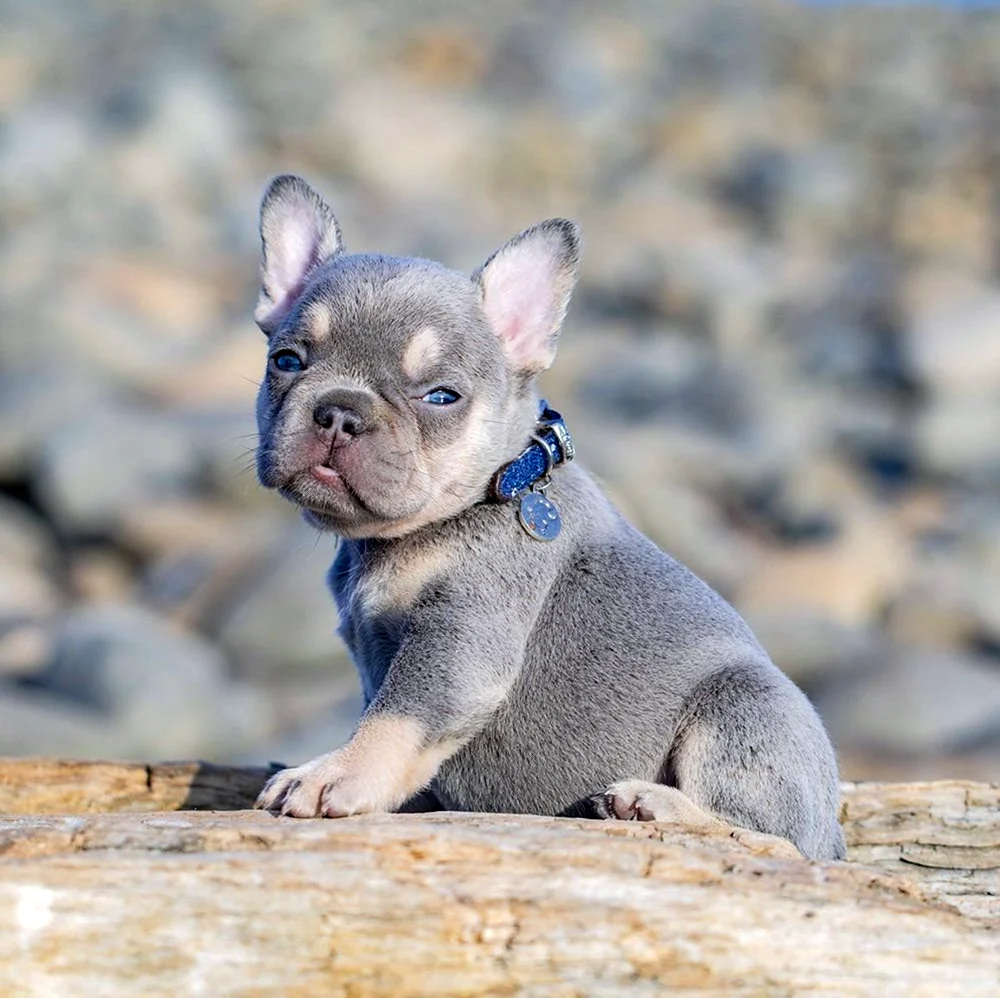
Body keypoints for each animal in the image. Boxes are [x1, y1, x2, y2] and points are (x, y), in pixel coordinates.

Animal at [250, 176, 844, 864]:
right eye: (287, 361)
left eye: (441, 397)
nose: (340, 411)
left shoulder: (459, 639)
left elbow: (397, 717)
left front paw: (336, 773)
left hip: (745, 708)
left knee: (771, 835)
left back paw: (653, 804)